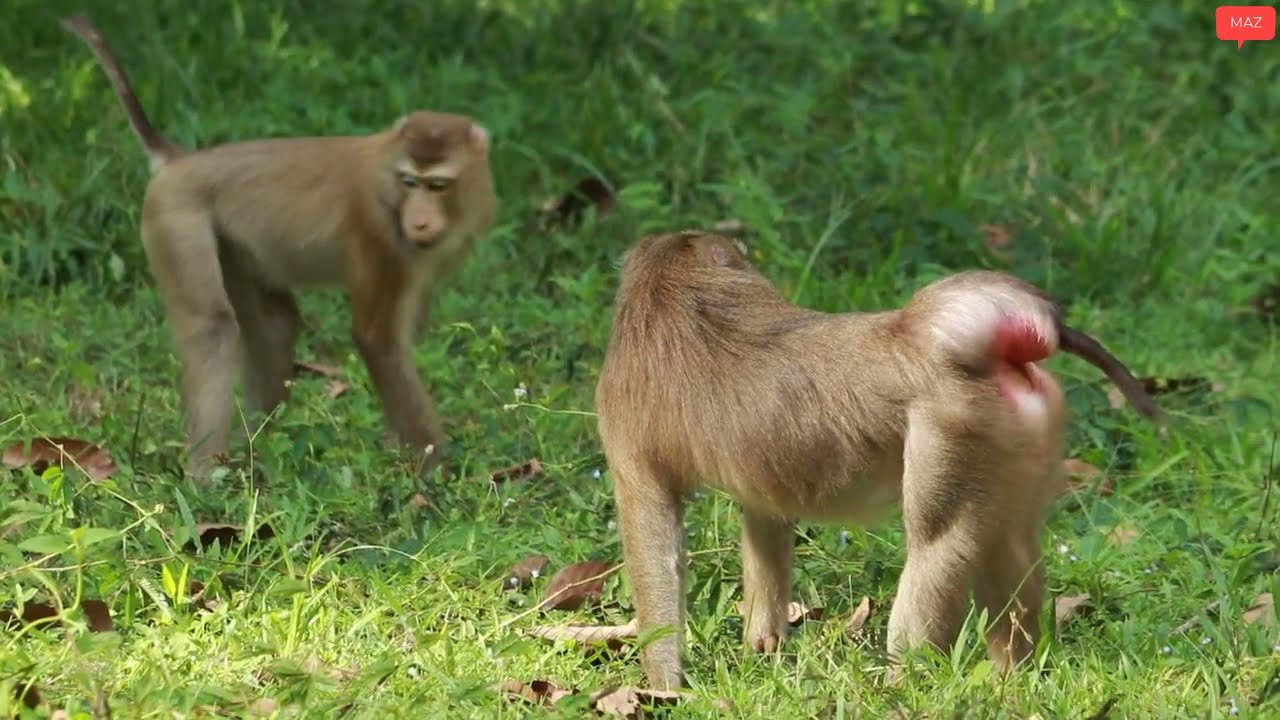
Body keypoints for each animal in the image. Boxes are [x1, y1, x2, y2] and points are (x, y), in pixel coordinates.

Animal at [60, 15, 497, 482]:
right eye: (410, 181)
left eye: (438, 185)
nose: (419, 220)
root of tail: (179, 162)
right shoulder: (380, 235)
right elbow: (378, 339)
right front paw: (433, 467)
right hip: (175, 216)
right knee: (214, 328)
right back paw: (204, 477)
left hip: (230, 242)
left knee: (274, 324)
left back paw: (258, 449)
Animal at [593, 230, 1162, 689]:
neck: (674, 285)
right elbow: (766, 514)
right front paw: (763, 647)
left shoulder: (621, 416)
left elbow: (652, 541)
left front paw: (664, 686)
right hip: (1018, 434)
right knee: (1009, 541)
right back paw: (1012, 677)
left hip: (949, 429)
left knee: (938, 546)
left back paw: (901, 688)